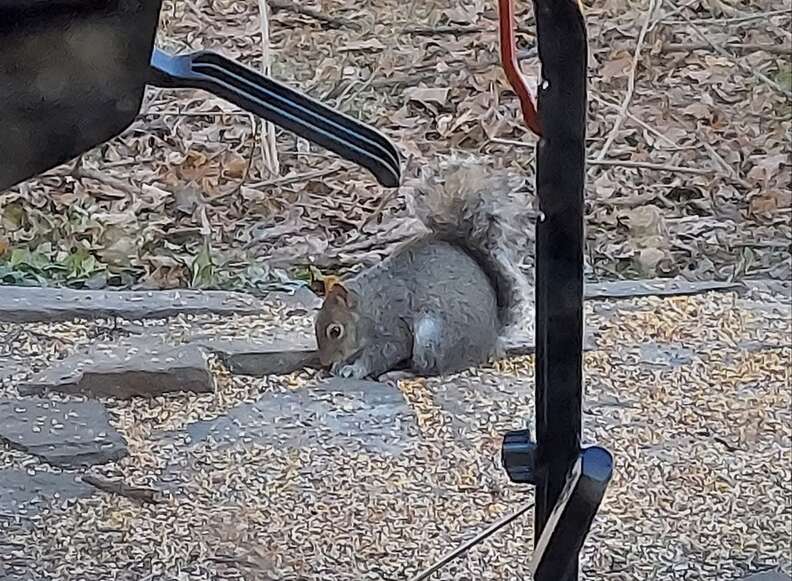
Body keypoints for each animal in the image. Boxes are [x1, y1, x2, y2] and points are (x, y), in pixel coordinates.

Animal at [314, 155, 534, 380]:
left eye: (335, 331)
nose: (324, 362)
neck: (367, 307)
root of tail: (491, 341)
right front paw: (340, 365)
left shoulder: (392, 328)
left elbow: (384, 353)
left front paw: (354, 369)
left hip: (432, 337)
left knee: (429, 370)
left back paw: (399, 374)